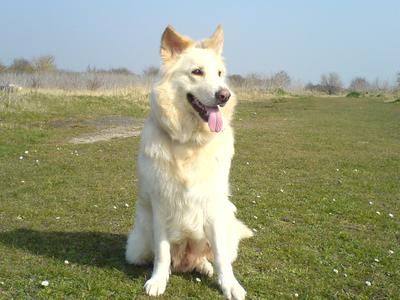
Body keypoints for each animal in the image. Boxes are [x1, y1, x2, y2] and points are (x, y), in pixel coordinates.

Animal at [125, 25, 252, 300]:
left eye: (220, 74)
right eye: (197, 72)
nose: (224, 95)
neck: (189, 142)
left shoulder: (213, 206)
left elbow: (220, 257)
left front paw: (230, 285)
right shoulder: (161, 204)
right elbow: (162, 253)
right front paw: (158, 280)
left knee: (209, 255)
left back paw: (204, 266)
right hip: (138, 245)